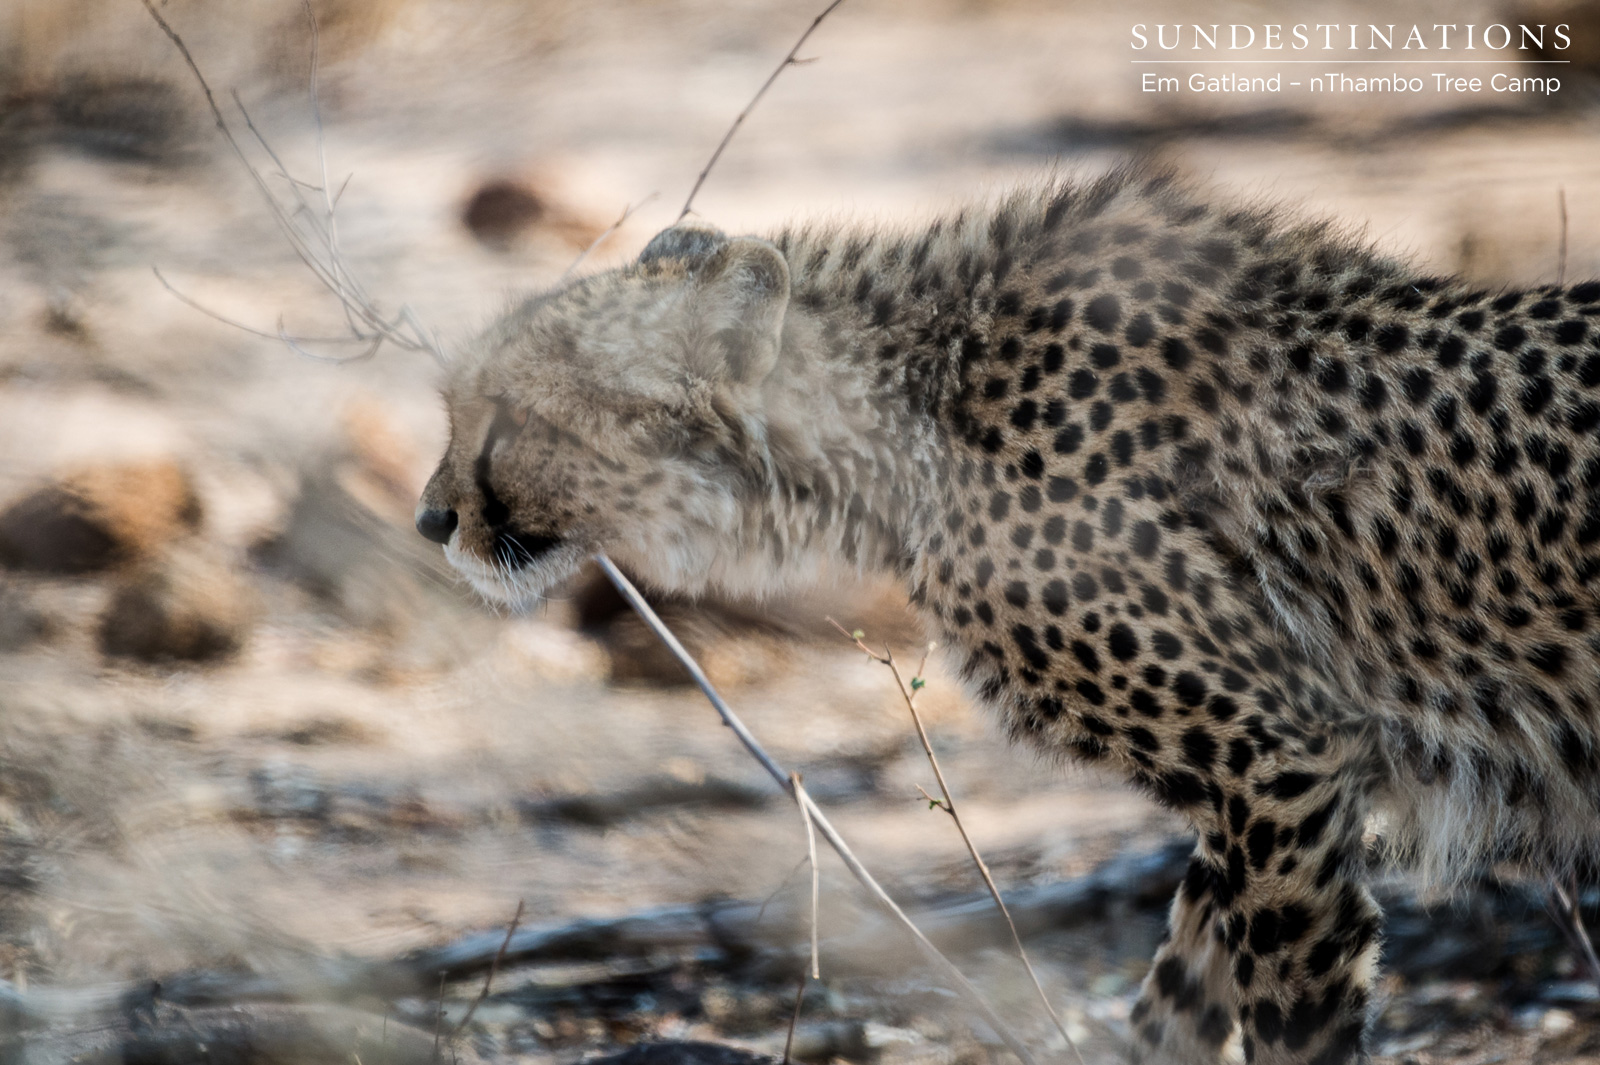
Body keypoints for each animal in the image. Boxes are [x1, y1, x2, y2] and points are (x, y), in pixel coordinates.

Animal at [416, 167, 1600, 1061]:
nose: (432, 521)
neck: (914, 409)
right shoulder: (1267, 785)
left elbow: (1289, 1011)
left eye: (504, 417)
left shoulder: (1277, 761)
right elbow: (1177, 992)